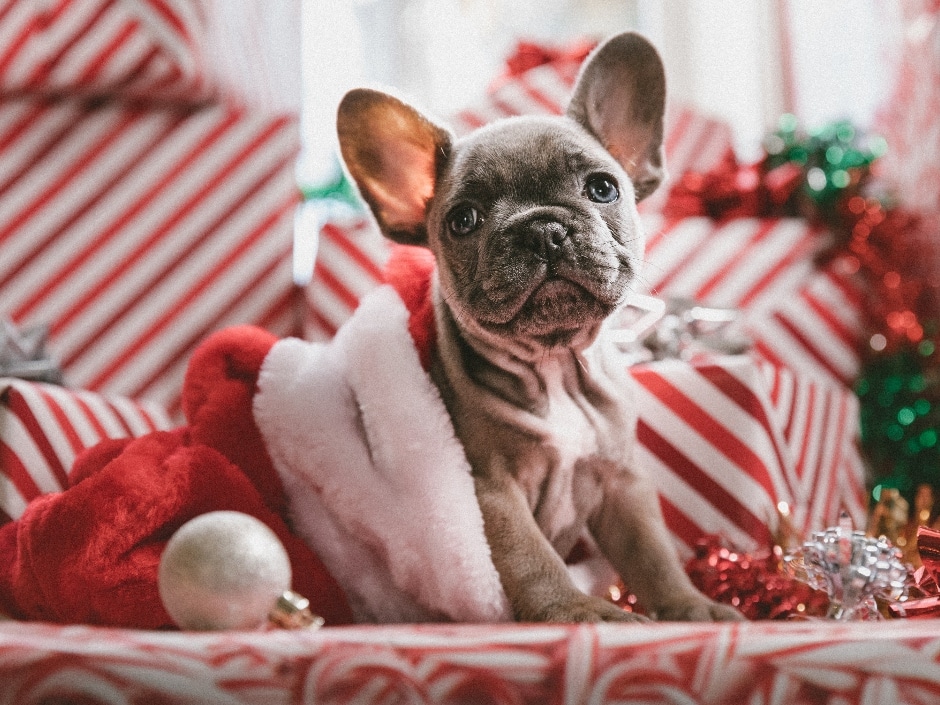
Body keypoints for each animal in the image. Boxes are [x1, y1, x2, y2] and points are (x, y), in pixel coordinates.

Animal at [338, 31, 740, 620]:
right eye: (463, 220)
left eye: (602, 189)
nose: (542, 230)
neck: (555, 364)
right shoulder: (490, 493)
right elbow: (532, 560)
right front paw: (579, 611)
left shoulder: (621, 482)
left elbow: (653, 553)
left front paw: (689, 607)